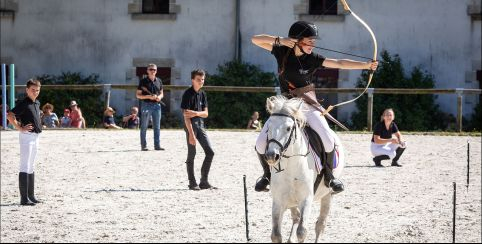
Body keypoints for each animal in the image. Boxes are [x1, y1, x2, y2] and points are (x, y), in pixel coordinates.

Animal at [264, 95, 346, 242]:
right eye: (268, 127)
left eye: (288, 128)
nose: (272, 155)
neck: (290, 167)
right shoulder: (278, 201)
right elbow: (276, 235)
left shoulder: (306, 199)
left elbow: (302, 231)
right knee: (296, 217)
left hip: (327, 195)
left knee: (320, 225)